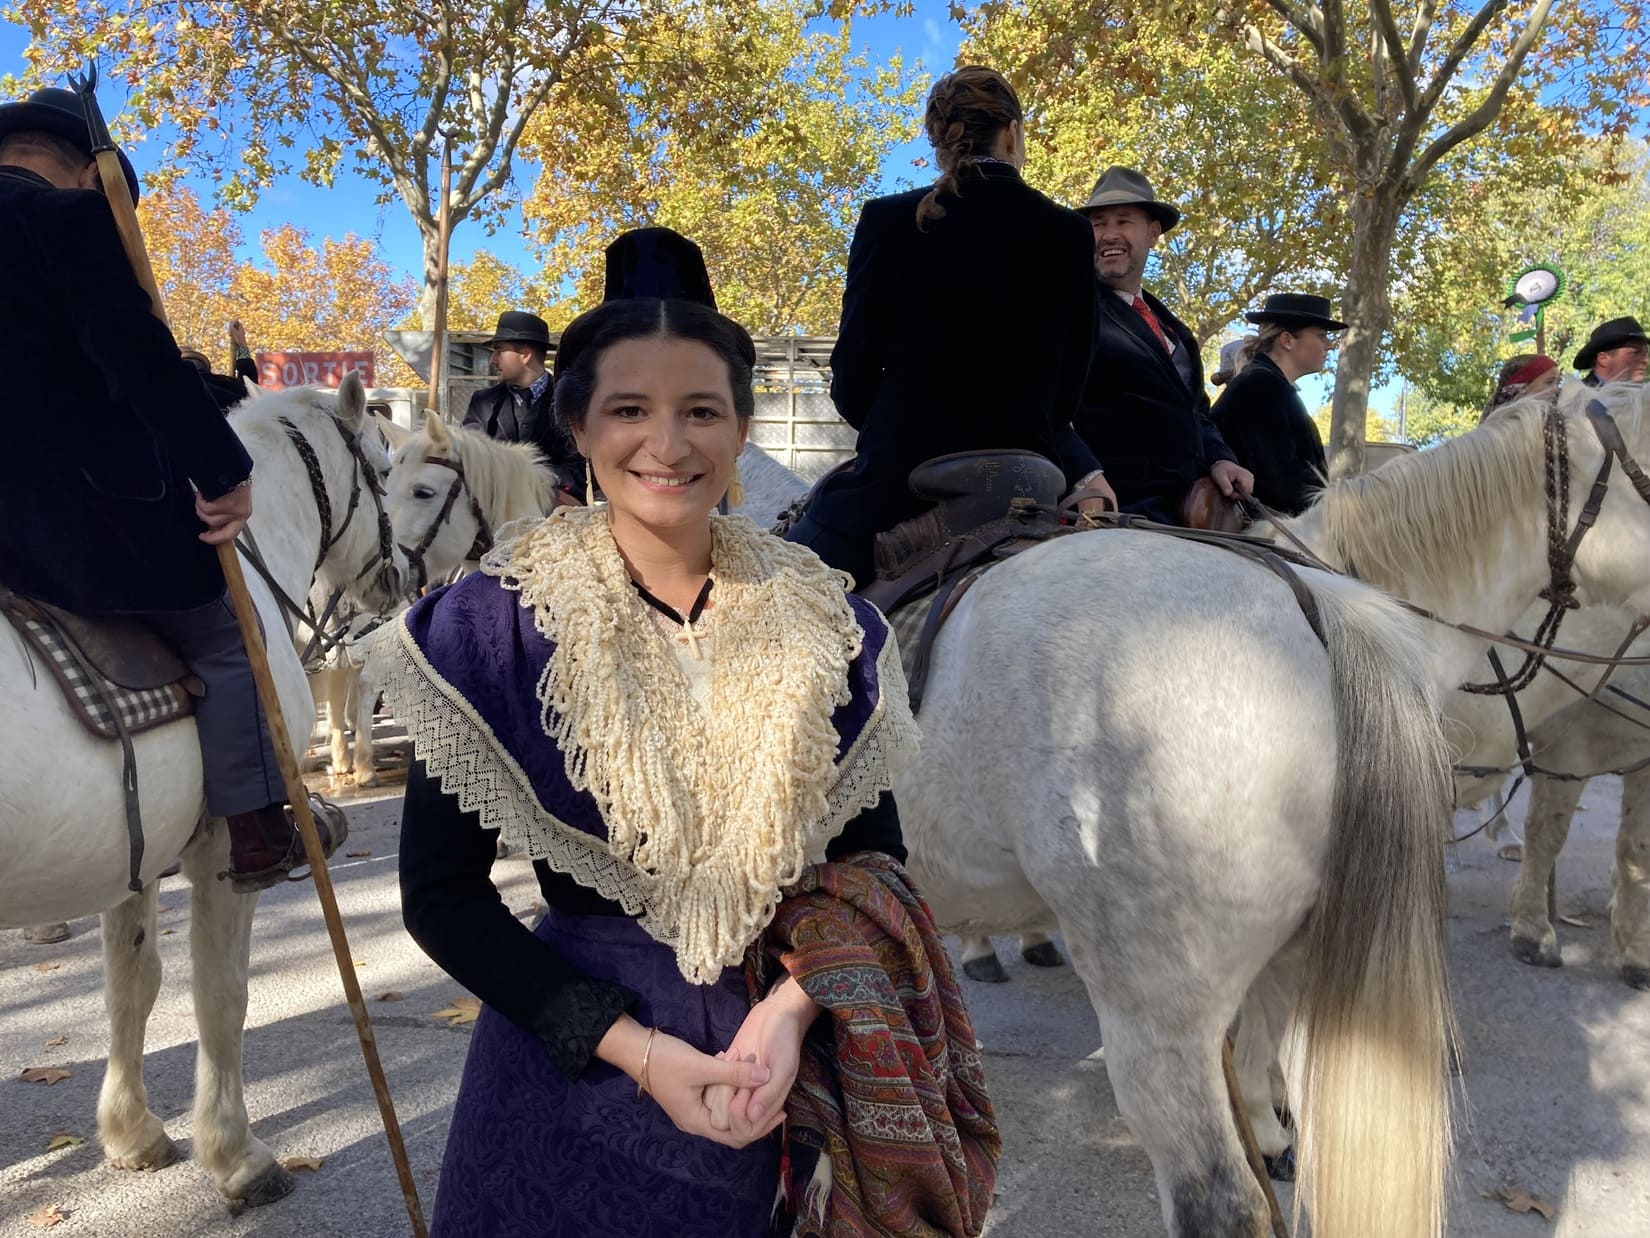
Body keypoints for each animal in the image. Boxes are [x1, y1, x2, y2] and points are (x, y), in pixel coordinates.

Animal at [1, 378, 407, 1214]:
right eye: (385, 471)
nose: (400, 578)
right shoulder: (224, 853)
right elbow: (222, 994)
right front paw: (237, 1155)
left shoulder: (134, 858)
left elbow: (134, 985)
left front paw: (132, 1135)